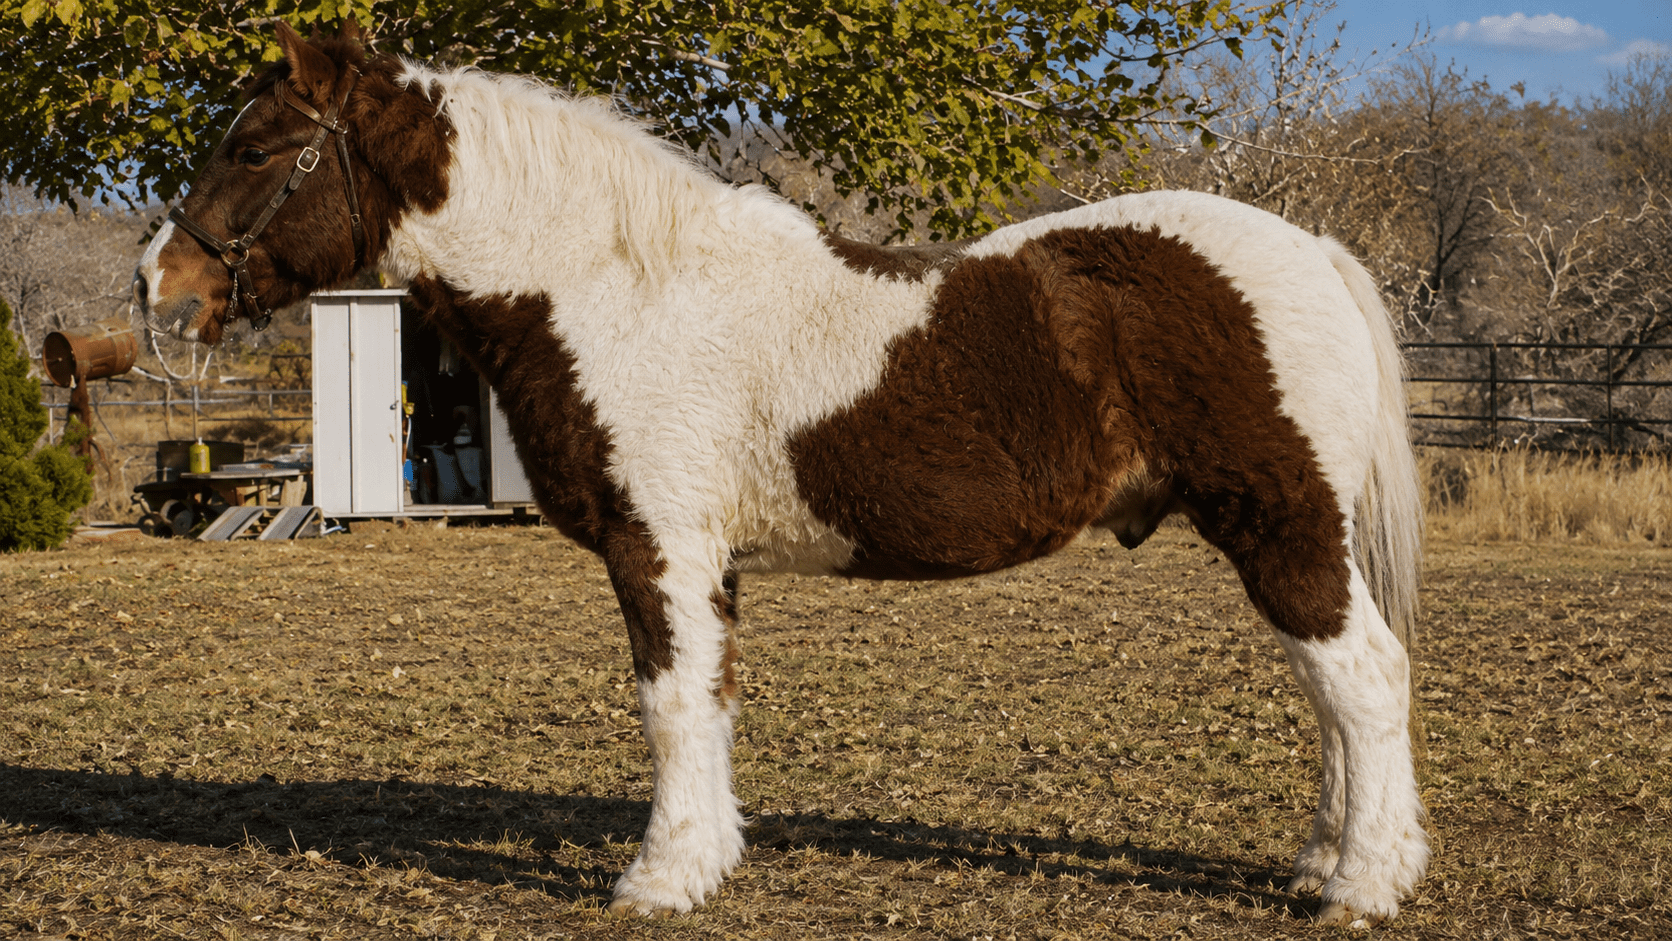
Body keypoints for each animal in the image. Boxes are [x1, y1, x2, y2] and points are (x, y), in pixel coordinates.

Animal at [133, 21, 1429, 928]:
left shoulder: (657, 548)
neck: (620, 290)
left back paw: (1360, 882)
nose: (159, 290)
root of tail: (1305, 248)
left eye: (256, 148)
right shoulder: (702, 561)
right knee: (1332, 691)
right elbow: (706, 701)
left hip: (1283, 523)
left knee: (1360, 676)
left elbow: (666, 702)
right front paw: (705, 859)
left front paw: (659, 878)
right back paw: (1329, 857)